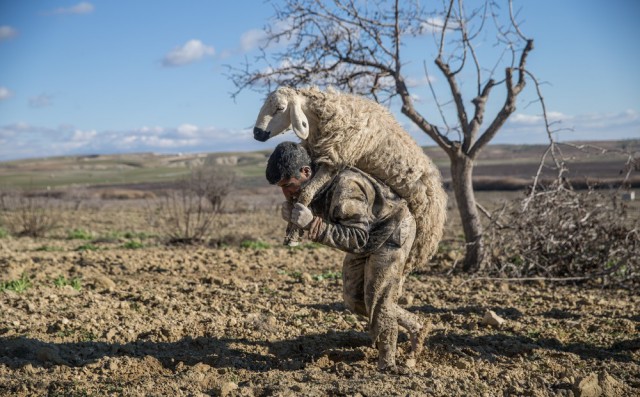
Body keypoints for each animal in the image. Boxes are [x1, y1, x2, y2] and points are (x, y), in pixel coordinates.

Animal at [252, 84, 448, 268]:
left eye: (280, 108)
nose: (257, 133)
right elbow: (297, 196)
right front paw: (291, 227)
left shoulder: (336, 158)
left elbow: (306, 192)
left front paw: (294, 234)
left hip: (420, 240)